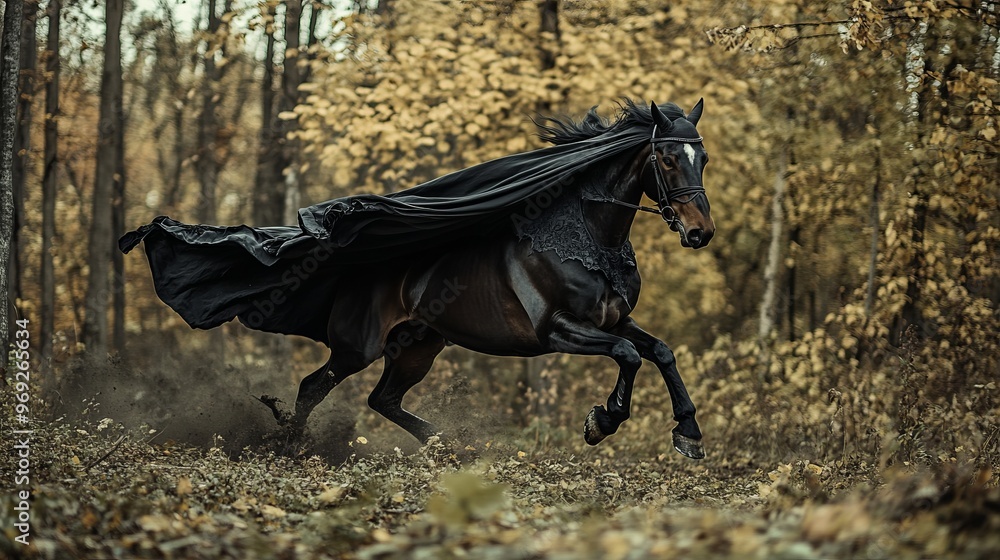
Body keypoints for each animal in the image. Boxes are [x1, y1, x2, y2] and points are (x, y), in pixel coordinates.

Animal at [122, 99, 715, 459]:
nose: (700, 232)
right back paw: (292, 447)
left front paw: (687, 433)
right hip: (358, 346)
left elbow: (659, 351)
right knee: (316, 386)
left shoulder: (614, 320)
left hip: (418, 346)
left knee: (382, 400)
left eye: (702, 156)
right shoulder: (558, 330)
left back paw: (448, 446)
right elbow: (629, 355)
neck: (589, 239)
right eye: (667, 156)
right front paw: (602, 421)